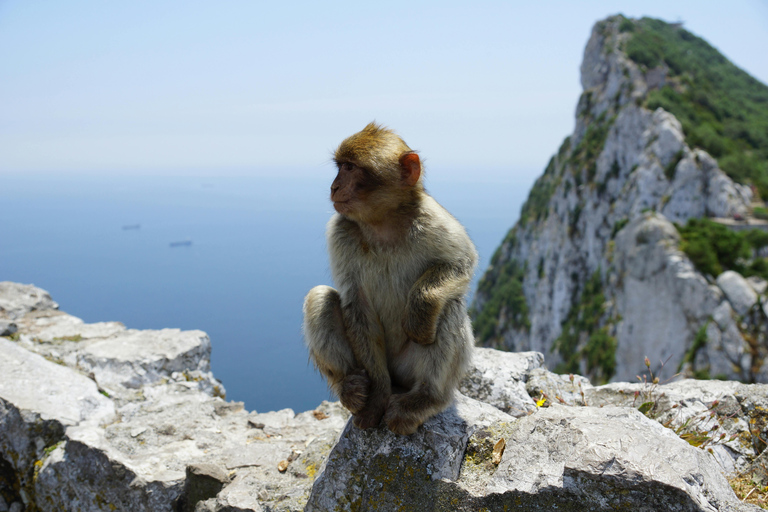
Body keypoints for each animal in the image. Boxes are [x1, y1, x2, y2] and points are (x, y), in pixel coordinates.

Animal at [304, 122, 476, 434]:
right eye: (340, 167)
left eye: (350, 167)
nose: (334, 186)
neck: (382, 223)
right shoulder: (340, 231)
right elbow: (357, 304)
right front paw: (377, 397)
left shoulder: (433, 218)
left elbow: (461, 263)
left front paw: (419, 318)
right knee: (321, 296)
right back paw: (350, 386)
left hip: (410, 368)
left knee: (450, 306)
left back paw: (426, 398)